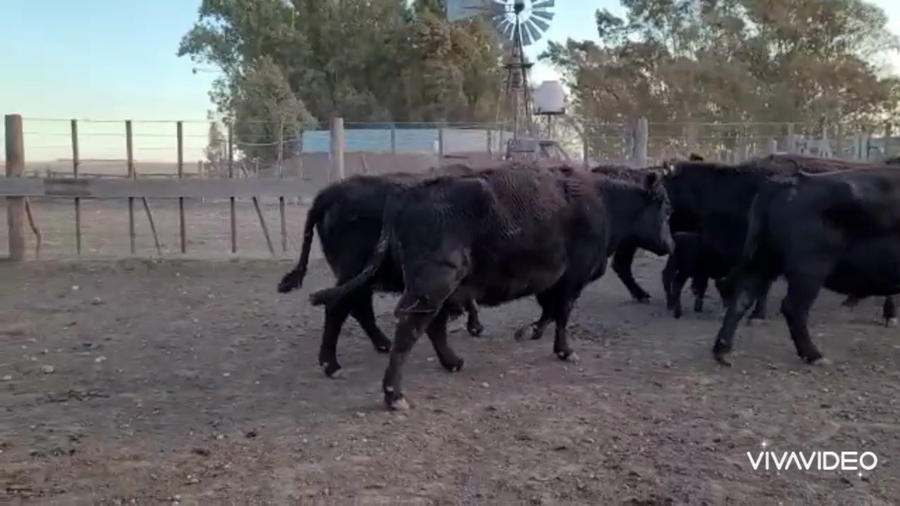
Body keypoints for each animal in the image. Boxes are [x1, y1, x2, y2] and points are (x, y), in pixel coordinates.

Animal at [277, 164, 486, 378]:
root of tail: (332, 191)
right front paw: (473, 326)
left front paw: (473, 325)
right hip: (353, 271)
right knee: (339, 306)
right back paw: (331, 365)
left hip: (361, 277)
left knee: (360, 307)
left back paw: (383, 343)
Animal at [307, 163, 674, 410]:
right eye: (667, 210)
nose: (670, 245)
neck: (603, 202)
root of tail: (410, 191)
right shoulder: (572, 278)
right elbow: (561, 313)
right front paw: (563, 349)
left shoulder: (552, 281)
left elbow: (550, 310)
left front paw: (529, 332)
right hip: (430, 283)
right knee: (403, 326)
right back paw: (391, 393)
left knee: (403, 319)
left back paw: (447, 362)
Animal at [712, 165, 900, 366]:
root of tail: (787, 182)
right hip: (808, 271)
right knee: (793, 308)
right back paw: (815, 356)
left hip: (763, 263)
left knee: (741, 299)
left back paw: (722, 351)